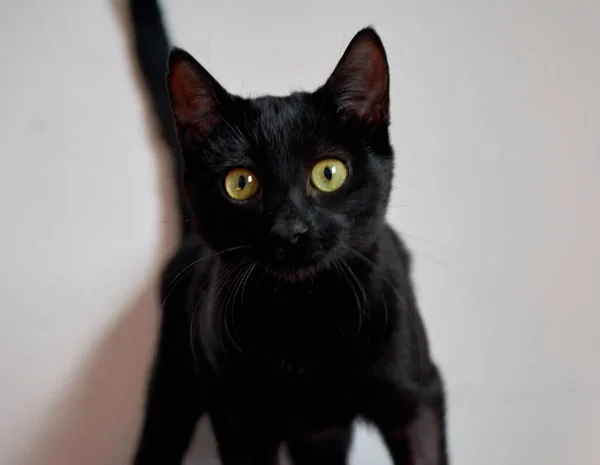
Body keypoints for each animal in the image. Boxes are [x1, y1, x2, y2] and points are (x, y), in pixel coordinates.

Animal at [129, 0, 448, 464]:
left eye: (329, 173)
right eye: (240, 183)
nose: (290, 230)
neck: (304, 318)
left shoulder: (417, 401)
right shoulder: (239, 422)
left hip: (323, 432)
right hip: (174, 385)